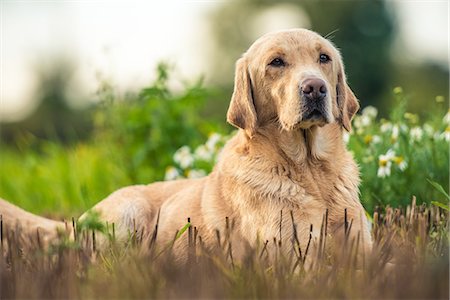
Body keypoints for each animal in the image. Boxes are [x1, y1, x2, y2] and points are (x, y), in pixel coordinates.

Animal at [0, 28, 370, 262]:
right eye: (276, 62)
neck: (310, 170)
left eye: (323, 58)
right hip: (128, 213)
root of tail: (78, 221)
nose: (315, 88)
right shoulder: (292, 257)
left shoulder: (361, 248)